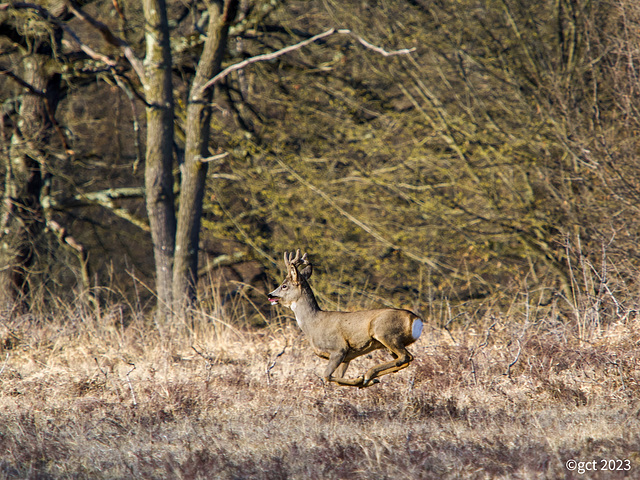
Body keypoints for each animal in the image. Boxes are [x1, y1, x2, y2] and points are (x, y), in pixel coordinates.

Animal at [266, 249, 422, 388]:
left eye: (284, 285)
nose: (270, 295)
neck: (313, 324)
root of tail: (416, 319)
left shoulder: (338, 349)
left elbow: (326, 376)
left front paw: (360, 379)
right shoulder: (347, 357)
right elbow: (337, 379)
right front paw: (361, 381)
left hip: (385, 332)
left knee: (406, 357)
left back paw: (368, 375)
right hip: (389, 343)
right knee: (405, 360)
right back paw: (371, 377)